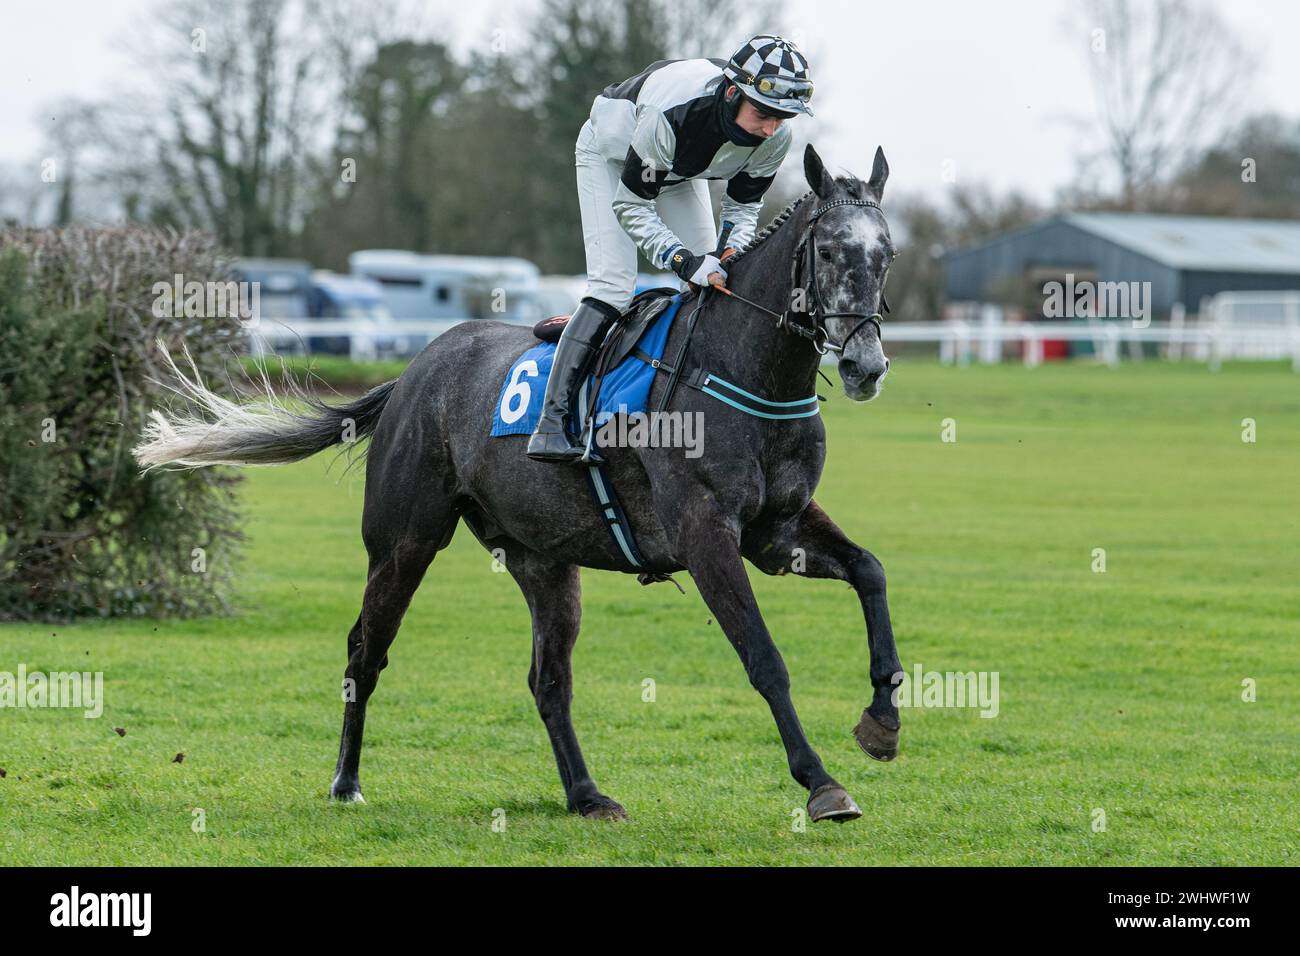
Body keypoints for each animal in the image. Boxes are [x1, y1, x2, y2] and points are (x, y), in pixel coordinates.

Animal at [131, 145, 904, 827]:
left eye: (886, 254)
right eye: (829, 251)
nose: (865, 365)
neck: (741, 370)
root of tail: (413, 372)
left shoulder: (776, 532)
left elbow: (871, 569)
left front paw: (883, 718)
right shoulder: (706, 533)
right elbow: (764, 658)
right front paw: (822, 784)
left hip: (544, 560)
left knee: (548, 681)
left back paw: (586, 795)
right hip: (404, 543)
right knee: (364, 652)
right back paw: (346, 782)